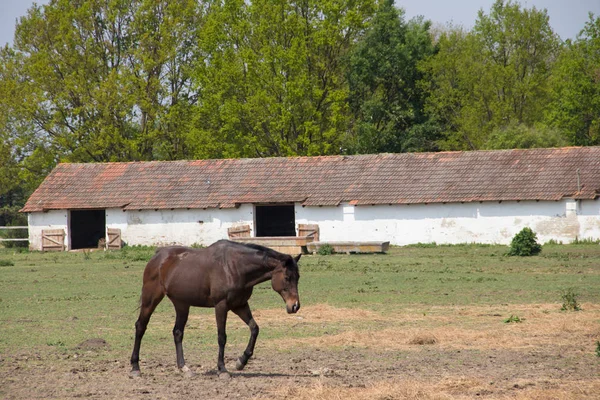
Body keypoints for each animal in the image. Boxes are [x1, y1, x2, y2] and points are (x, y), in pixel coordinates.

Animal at [130, 239, 300, 376]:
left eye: (298, 277)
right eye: (287, 277)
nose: (295, 306)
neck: (234, 267)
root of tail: (158, 256)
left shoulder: (240, 305)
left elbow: (254, 328)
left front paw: (241, 361)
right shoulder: (221, 306)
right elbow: (222, 337)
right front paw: (222, 369)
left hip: (181, 304)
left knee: (177, 332)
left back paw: (184, 368)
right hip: (151, 299)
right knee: (141, 327)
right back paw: (135, 367)